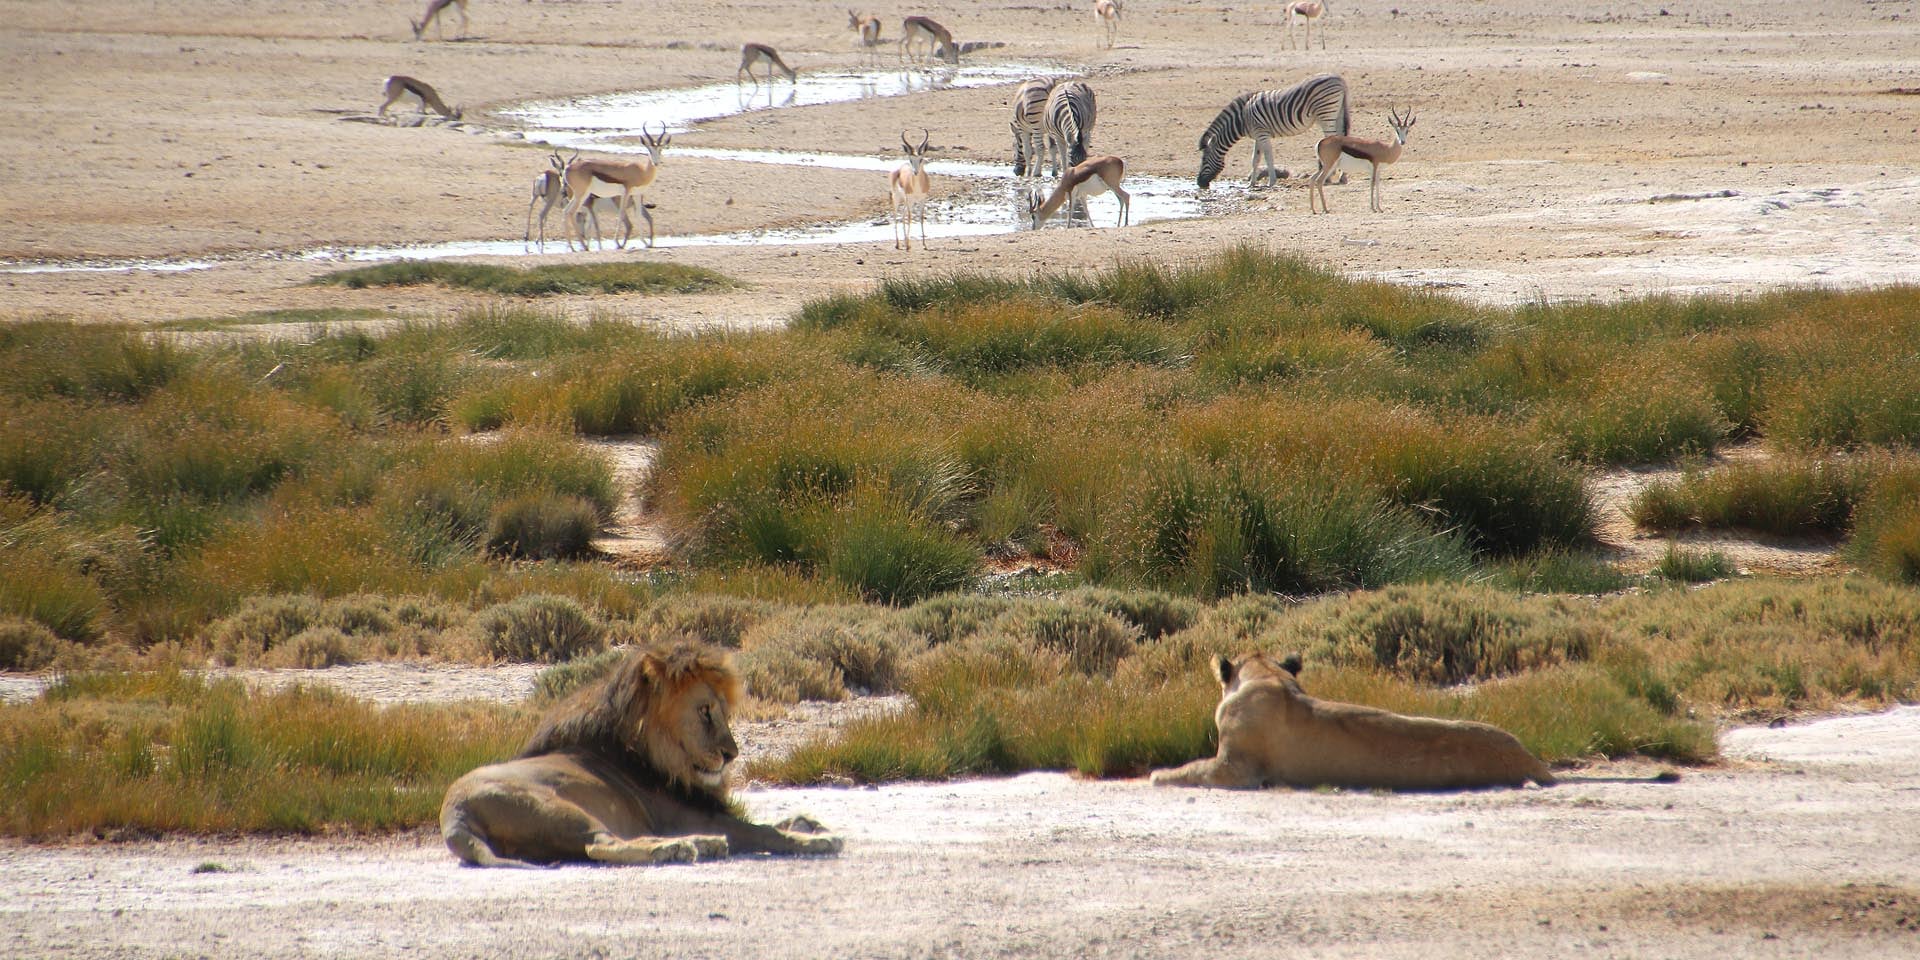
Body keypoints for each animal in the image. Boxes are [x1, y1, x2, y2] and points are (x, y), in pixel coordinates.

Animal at [440, 640, 843, 866]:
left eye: (726, 713)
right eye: (705, 711)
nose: (732, 754)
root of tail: (455, 815)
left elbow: (776, 822)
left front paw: (808, 822)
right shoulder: (690, 814)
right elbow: (764, 831)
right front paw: (816, 839)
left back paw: (701, 844)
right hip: (556, 808)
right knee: (600, 846)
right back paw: (681, 847)